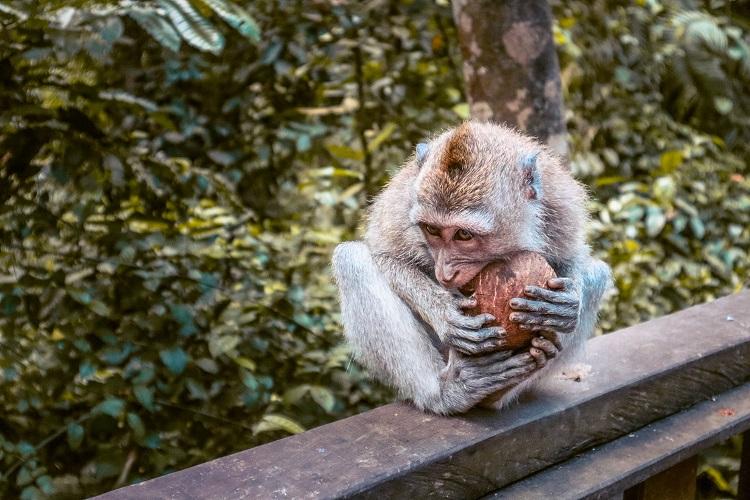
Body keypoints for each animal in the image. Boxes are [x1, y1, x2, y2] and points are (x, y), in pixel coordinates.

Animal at [332, 121, 611, 415]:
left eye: (464, 235)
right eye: (432, 230)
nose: (445, 273)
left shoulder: (560, 205)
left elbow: (573, 256)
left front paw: (564, 306)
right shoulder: (402, 202)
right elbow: (385, 256)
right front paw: (445, 313)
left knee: (597, 275)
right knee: (352, 259)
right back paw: (447, 391)